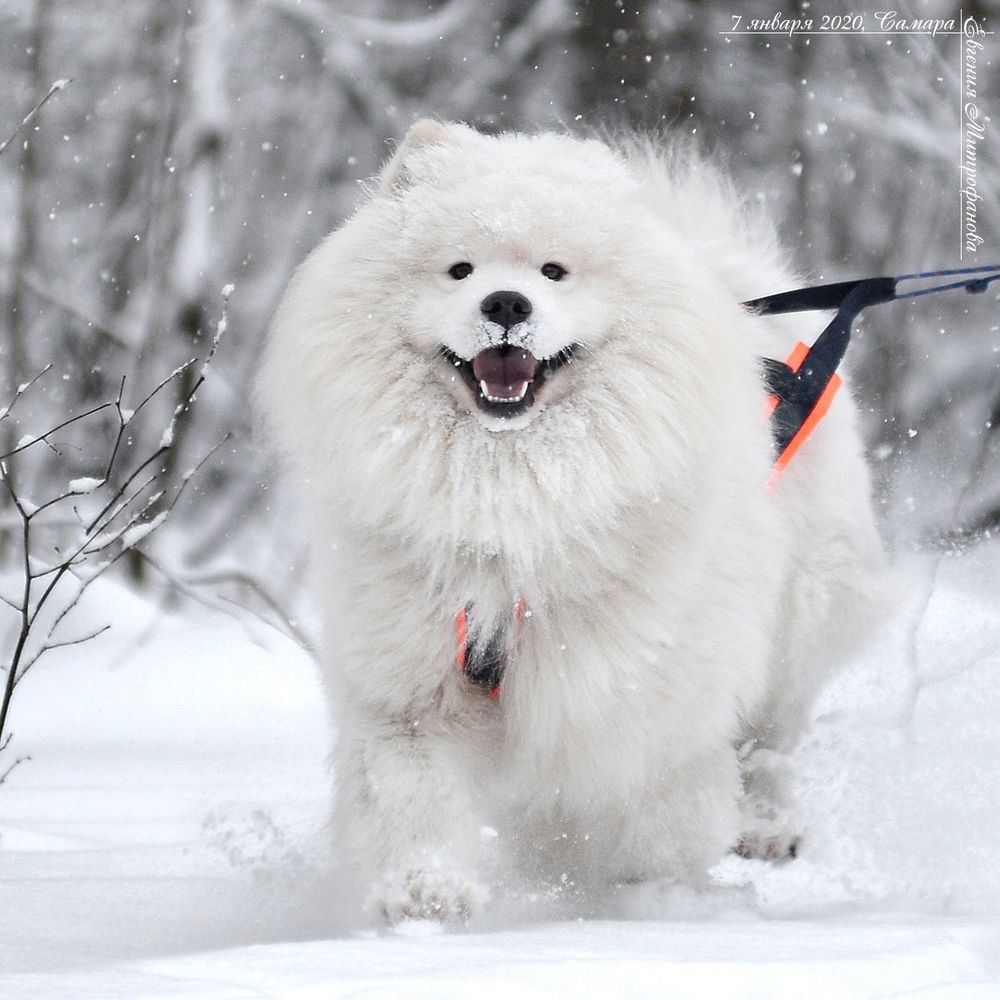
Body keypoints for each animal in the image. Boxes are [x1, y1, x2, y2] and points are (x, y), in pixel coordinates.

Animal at [258, 121, 884, 924]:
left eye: (554, 272)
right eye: (459, 270)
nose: (505, 303)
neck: (510, 499)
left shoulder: (644, 685)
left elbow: (661, 812)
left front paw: (652, 898)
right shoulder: (408, 683)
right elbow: (413, 795)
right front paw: (427, 892)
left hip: (799, 622)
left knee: (769, 743)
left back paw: (765, 829)